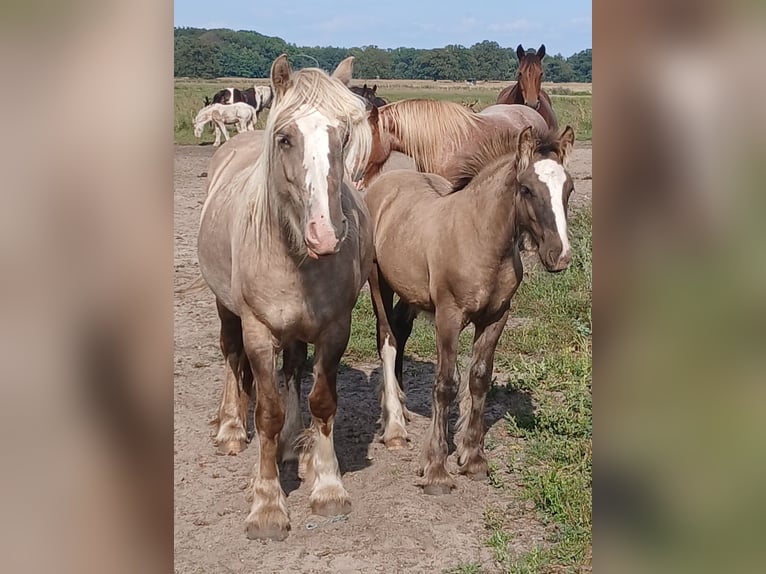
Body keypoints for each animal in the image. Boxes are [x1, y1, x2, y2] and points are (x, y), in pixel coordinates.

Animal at [196, 51, 374, 544]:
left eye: (344, 135)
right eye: (285, 138)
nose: (325, 234)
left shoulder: (334, 329)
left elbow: (322, 401)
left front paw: (327, 485)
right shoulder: (258, 331)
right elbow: (267, 413)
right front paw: (267, 505)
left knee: (293, 369)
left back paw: (295, 448)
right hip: (226, 309)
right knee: (231, 357)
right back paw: (231, 427)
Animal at [366, 125, 576, 496]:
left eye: (569, 187)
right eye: (526, 188)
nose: (560, 255)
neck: (479, 239)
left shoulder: (496, 317)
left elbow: (479, 379)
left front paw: (474, 460)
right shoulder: (448, 318)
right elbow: (446, 384)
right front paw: (436, 470)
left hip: (411, 293)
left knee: (400, 334)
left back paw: (402, 411)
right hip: (379, 283)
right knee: (388, 341)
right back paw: (394, 428)